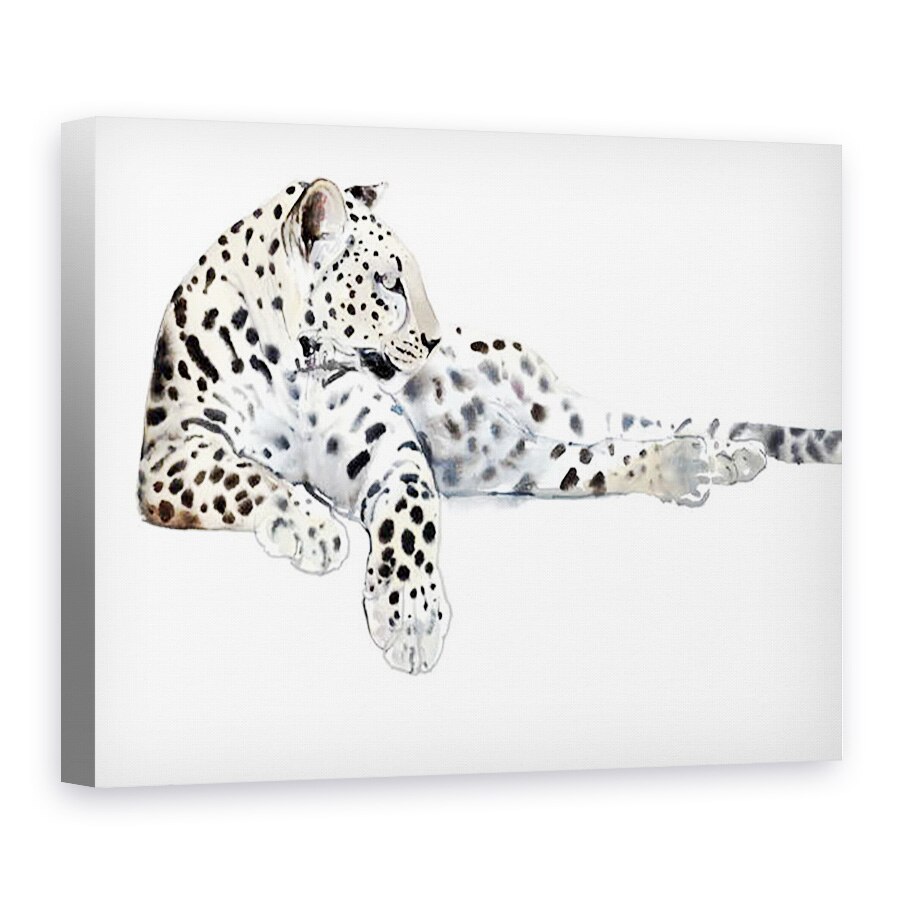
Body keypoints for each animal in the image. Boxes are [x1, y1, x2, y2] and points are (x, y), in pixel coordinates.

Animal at [138, 178, 842, 674]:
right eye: (387, 282)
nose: (433, 339)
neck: (299, 371)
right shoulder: (169, 454)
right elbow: (245, 477)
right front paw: (313, 529)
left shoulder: (393, 454)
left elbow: (409, 522)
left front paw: (411, 620)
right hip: (503, 460)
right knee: (592, 457)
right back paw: (698, 462)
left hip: (529, 429)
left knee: (615, 438)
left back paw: (716, 457)